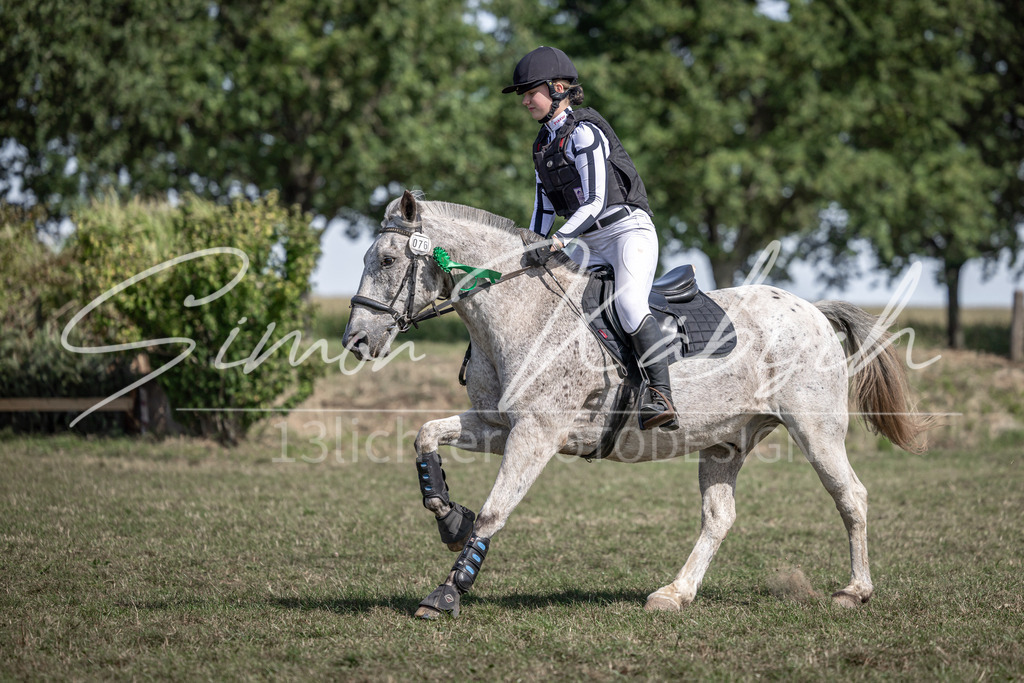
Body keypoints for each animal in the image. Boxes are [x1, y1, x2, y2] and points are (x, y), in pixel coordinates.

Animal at [342, 190, 931, 619]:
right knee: (719, 517)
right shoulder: (498, 424)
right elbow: (425, 435)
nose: (357, 341)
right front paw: (449, 520)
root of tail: (811, 309)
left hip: (815, 428)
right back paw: (674, 594)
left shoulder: (536, 433)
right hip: (726, 439)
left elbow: (496, 510)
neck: (520, 310)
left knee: (850, 496)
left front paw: (448, 592)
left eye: (388, 259)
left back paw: (855, 591)